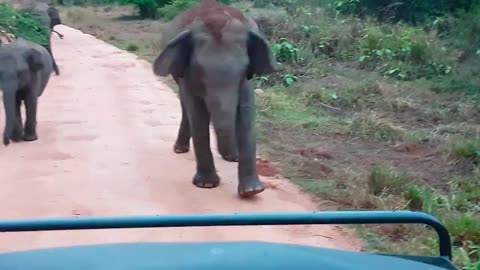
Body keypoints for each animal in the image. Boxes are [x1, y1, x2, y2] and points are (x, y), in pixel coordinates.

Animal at [154, 0, 278, 197]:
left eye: (244, 68)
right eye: (199, 70)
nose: (226, 153)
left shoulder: (247, 79)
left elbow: (246, 112)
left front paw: (252, 191)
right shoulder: (187, 74)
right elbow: (197, 113)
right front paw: (206, 185)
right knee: (185, 106)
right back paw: (180, 149)